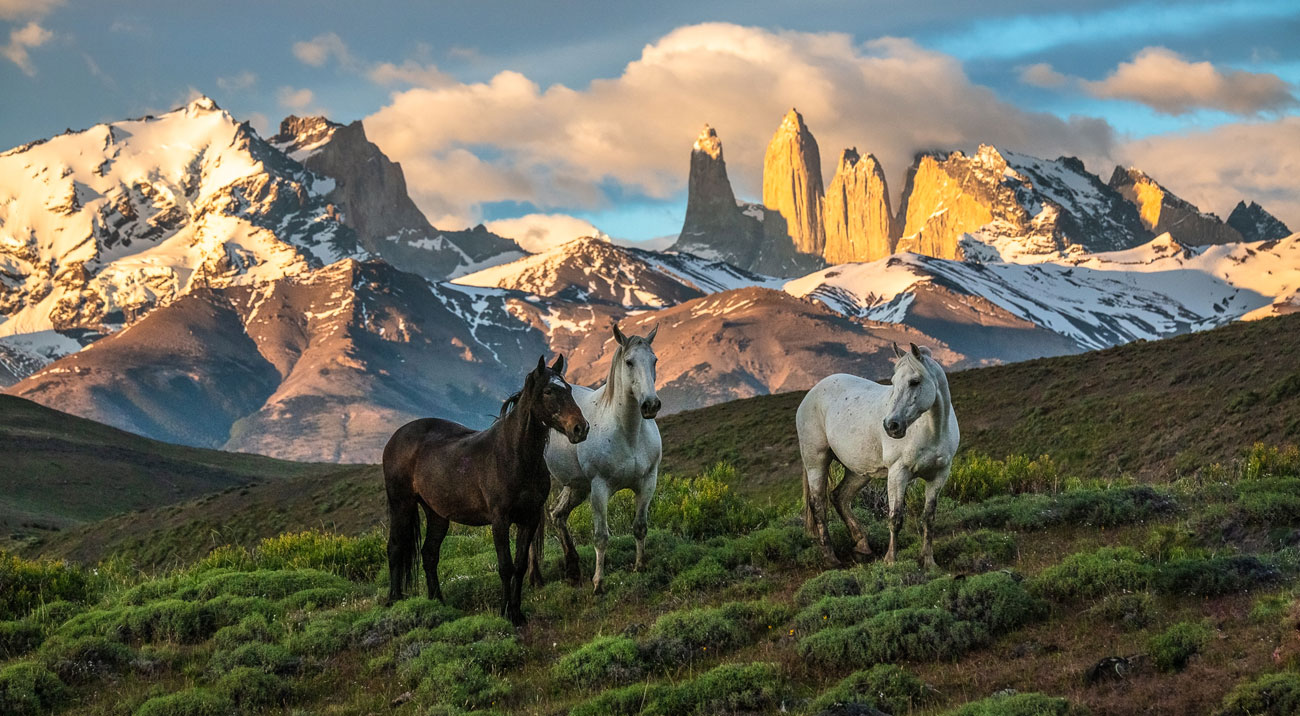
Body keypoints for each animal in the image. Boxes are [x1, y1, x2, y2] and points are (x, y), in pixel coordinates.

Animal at [382, 355, 589, 626]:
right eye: (548, 391)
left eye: (570, 389)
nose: (580, 428)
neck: (515, 456)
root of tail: (396, 437)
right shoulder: (499, 520)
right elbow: (505, 567)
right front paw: (505, 612)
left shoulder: (530, 519)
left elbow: (520, 566)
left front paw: (517, 612)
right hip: (401, 505)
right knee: (396, 548)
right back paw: (394, 601)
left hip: (437, 514)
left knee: (429, 554)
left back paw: (438, 601)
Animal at [526, 324, 662, 594]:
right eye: (629, 362)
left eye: (654, 360)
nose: (650, 405)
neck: (628, 431)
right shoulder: (600, 487)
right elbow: (601, 537)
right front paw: (599, 582)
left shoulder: (647, 482)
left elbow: (640, 527)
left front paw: (640, 566)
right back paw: (535, 577)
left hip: (576, 486)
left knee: (557, 515)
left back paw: (572, 571)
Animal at [796, 342, 959, 569]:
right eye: (893, 382)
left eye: (915, 381)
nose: (891, 425)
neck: (933, 430)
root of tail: (813, 391)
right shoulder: (898, 473)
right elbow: (895, 517)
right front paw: (890, 560)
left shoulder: (939, 475)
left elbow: (929, 518)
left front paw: (928, 561)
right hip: (816, 461)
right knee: (819, 505)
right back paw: (831, 558)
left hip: (859, 471)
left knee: (840, 497)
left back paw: (862, 544)